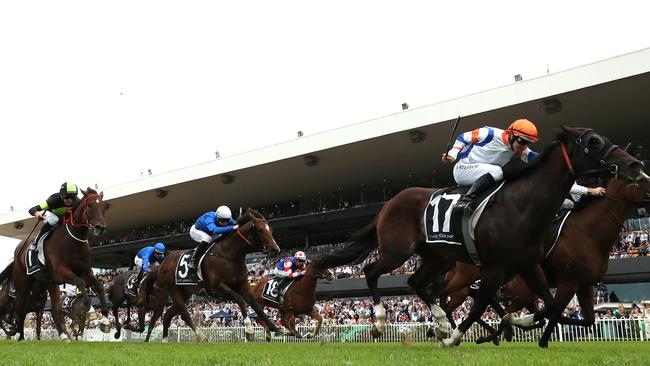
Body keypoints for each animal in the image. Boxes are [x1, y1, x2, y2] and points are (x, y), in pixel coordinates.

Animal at [0, 187, 109, 342]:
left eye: (104, 206)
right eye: (90, 205)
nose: (101, 227)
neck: (72, 242)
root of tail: (19, 249)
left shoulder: (86, 272)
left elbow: (99, 286)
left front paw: (105, 320)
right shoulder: (61, 273)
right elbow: (80, 283)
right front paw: (89, 310)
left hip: (49, 283)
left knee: (54, 310)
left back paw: (63, 335)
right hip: (23, 283)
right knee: (21, 308)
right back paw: (19, 335)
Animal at [135, 209, 280, 344]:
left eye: (271, 230)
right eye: (260, 230)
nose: (275, 250)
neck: (229, 255)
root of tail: (161, 265)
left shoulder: (242, 284)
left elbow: (255, 305)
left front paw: (275, 328)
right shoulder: (218, 287)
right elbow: (240, 300)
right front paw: (249, 331)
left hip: (184, 293)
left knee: (167, 315)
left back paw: (165, 340)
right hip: (173, 289)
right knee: (184, 314)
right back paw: (201, 336)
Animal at [318, 127, 644, 348]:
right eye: (593, 142)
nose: (636, 165)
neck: (523, 205)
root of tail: (389, 203)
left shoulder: (529, 265)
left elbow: (549, 306)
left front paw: (518, 322)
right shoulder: (498, 269)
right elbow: (480, 307)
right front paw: (458, 337)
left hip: (438, 258)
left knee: (417, 283)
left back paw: (438, 322)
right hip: (397, 251)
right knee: (371, 271)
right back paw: (381, 319)